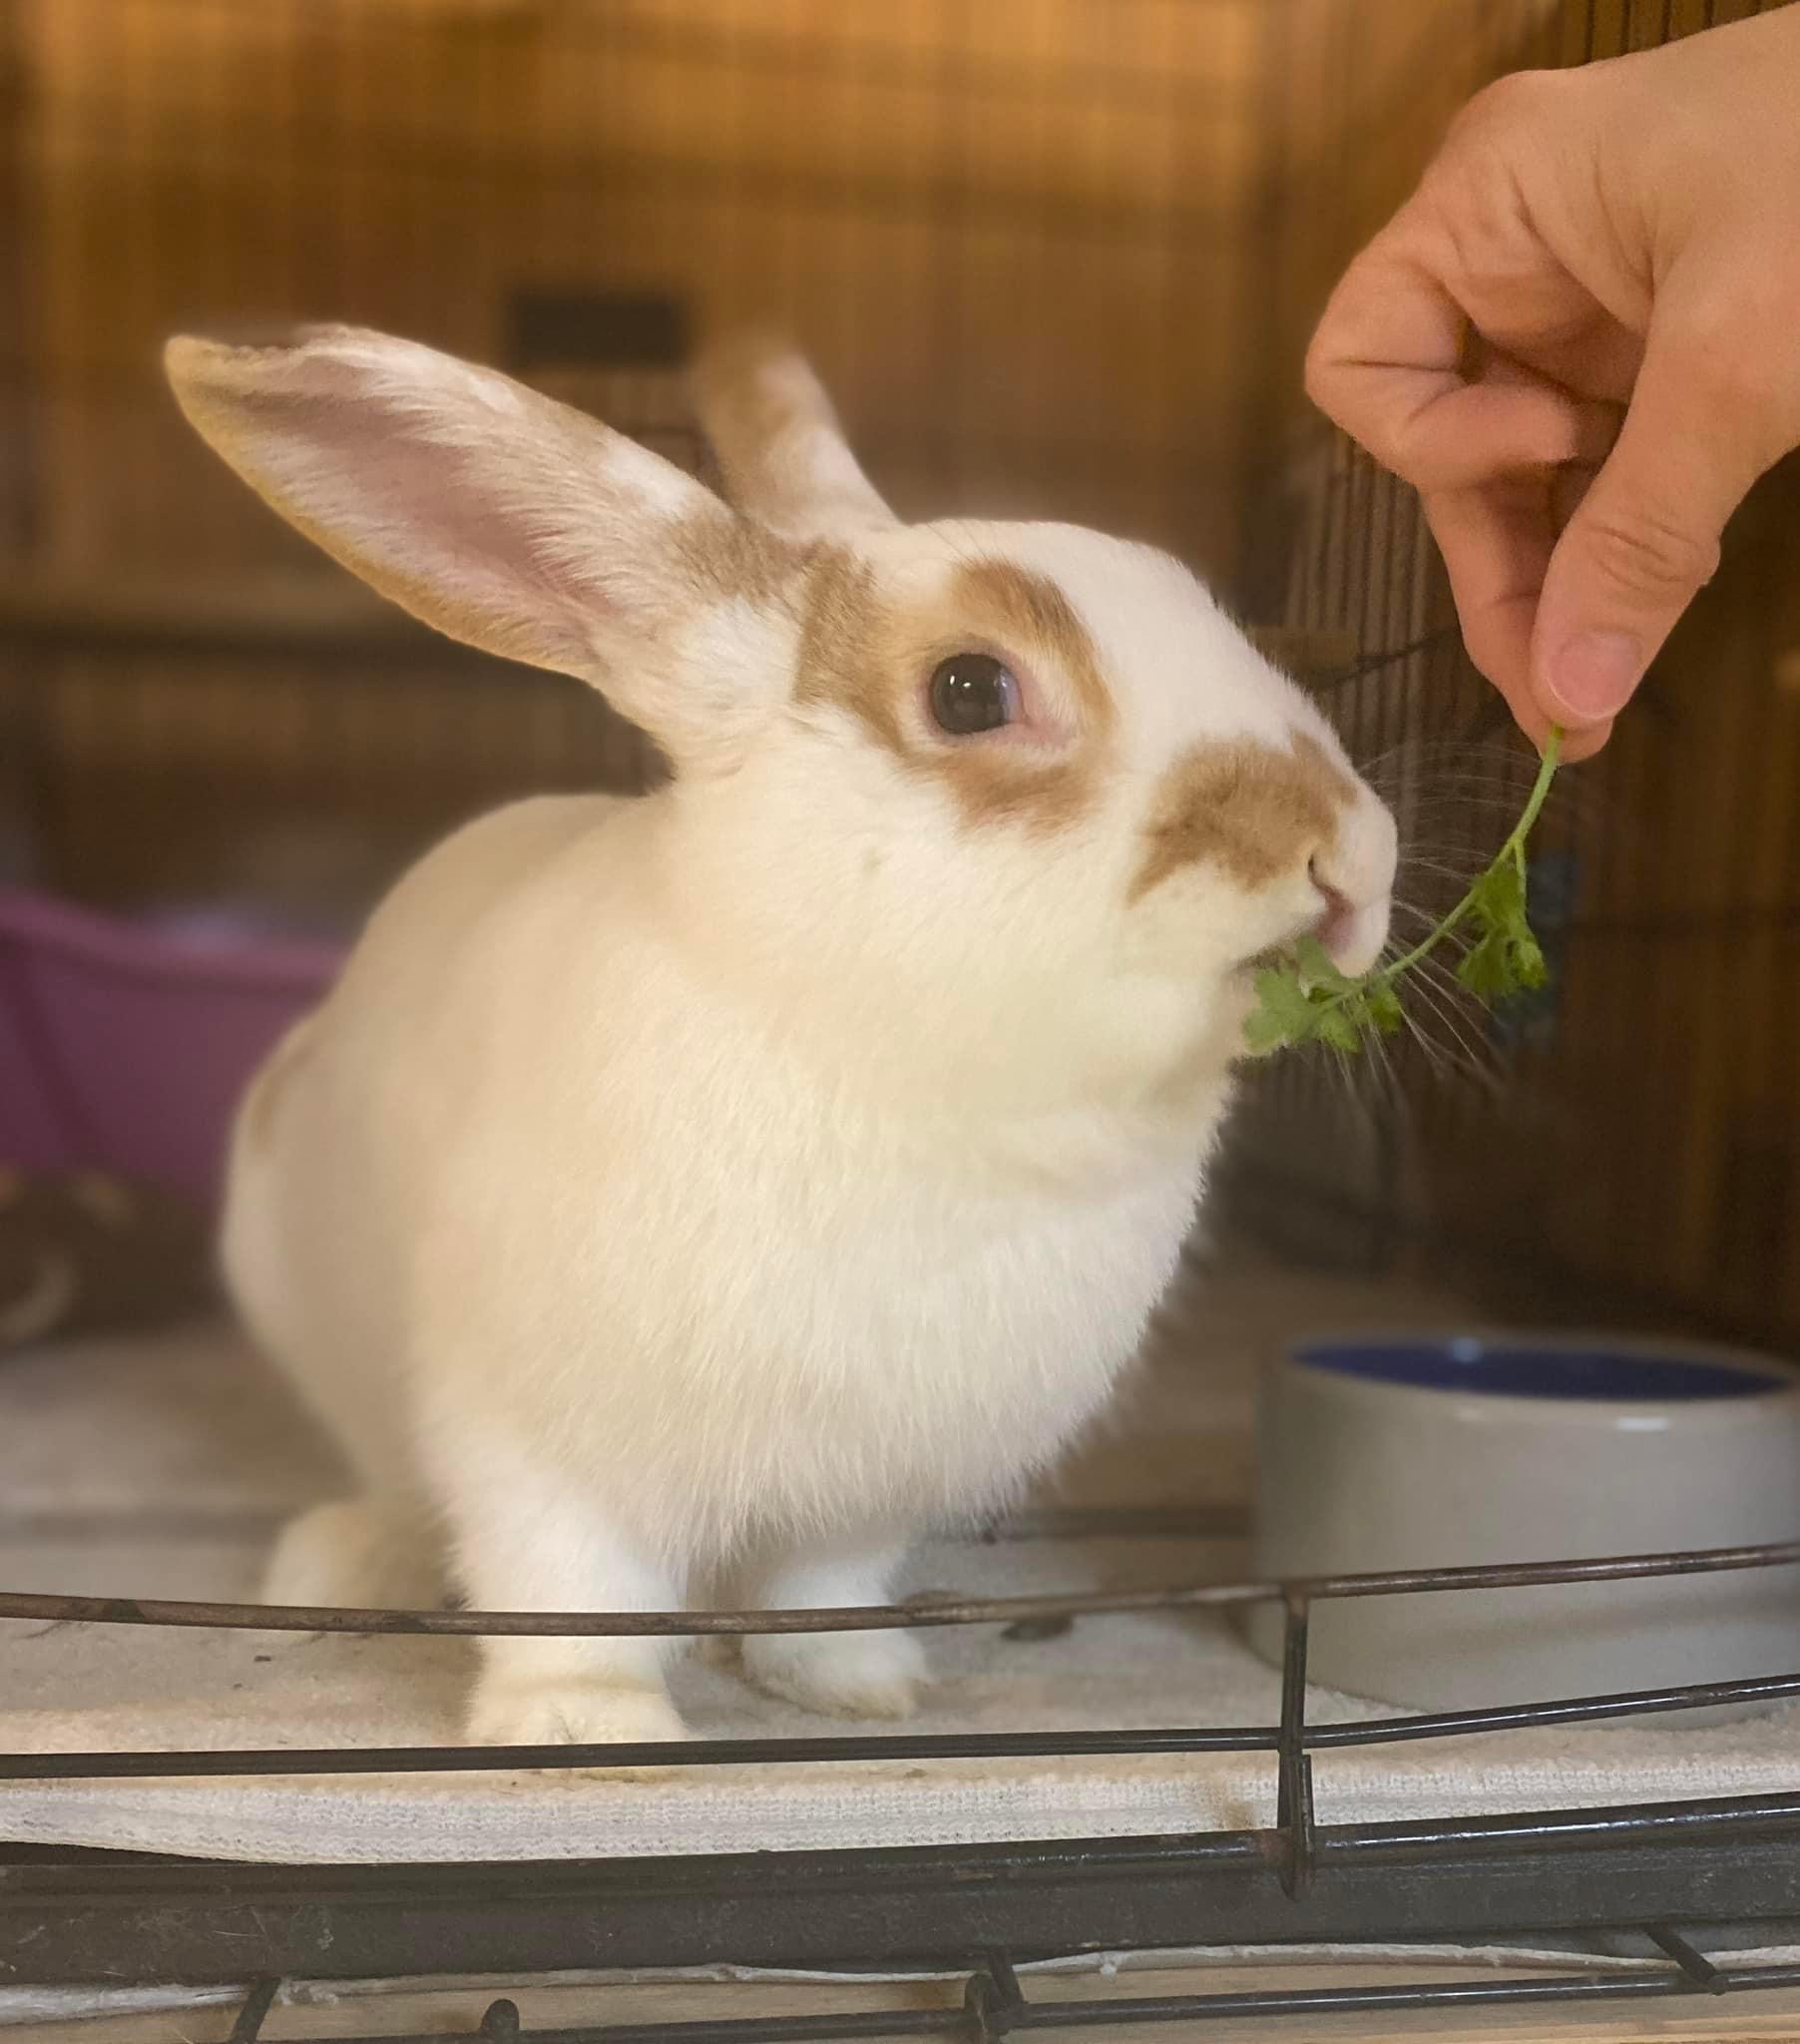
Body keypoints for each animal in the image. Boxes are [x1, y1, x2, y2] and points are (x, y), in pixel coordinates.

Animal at [164, 324, 1398, 1748]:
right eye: (968, 690)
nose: (1350, 855)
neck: (907, 1083)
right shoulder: (530, 1439)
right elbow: (566, 1584)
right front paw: (585, 1732)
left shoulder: (866, 1483)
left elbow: (822, 1583)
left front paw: (853, 1686)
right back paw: (349, 1559)